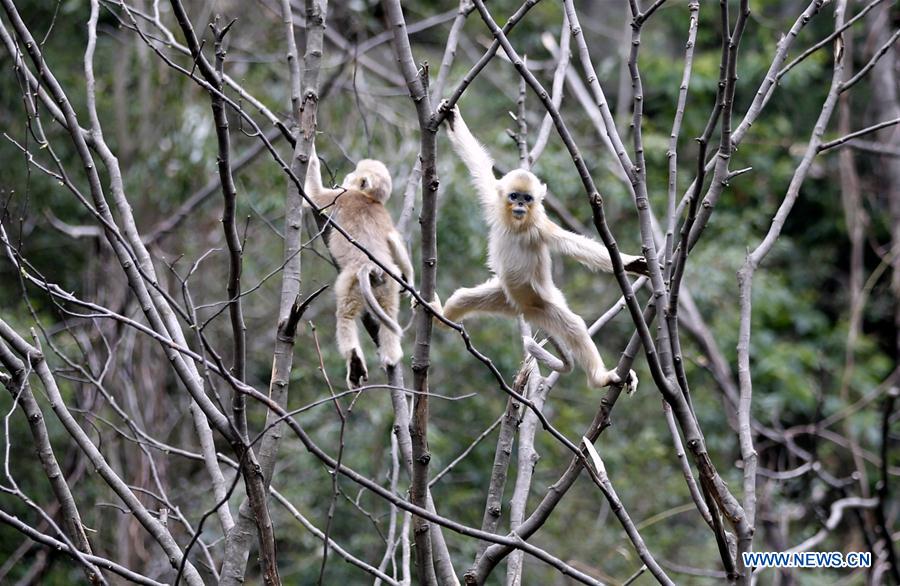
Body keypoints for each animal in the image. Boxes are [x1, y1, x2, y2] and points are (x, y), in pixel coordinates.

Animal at [304, 143, 414, 388]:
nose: (348, 175)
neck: (367, 199)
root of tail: (372, 267)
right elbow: (394, 240)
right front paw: (410, 282)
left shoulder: (343, 196)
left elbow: (313, 195)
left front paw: (310, 148)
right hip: (387, 285)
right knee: (389, 315)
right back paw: (391, 356)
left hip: (351, 282)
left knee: (345, 316)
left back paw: (354, 361)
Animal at [436, 103, 645, 392]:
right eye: (514, 196)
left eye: (528, 198)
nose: (520, 206)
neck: (517, 226)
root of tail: (522, 309)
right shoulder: (494, 201)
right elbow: (477, 163)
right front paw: (453, 118)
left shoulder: (541, 228)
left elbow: (577, 246)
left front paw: (630, 262)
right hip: (505, 298)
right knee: (462, 298)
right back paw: (440, 319)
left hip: (542, 305)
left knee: (574, 326)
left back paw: (601, 378)